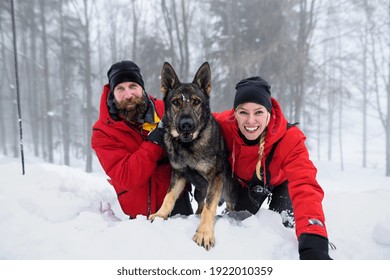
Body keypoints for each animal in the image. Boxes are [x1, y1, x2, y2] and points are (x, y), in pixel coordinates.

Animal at [149, 61, 235, 249]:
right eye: (176, 102)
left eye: (196, 102)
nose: (186, 124)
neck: (188, 146)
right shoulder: (179, 174)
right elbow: (169, 196)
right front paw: (160, 214)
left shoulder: (216, 178)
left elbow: (210, 207)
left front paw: (204, 233)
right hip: (198, 192)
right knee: (200, 205)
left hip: (229, 193)